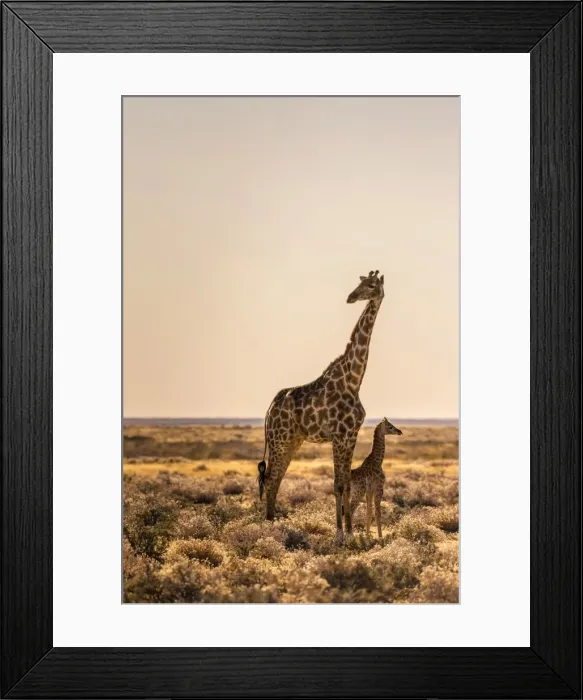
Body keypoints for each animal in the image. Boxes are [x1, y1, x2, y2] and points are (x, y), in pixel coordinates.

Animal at [257, 270, 385, 544]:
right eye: (360, 283)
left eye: (371, 285)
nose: (350, 297)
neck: (354, 380)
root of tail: (269, 409)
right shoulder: (338, 435)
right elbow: (338, 484)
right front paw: (339, 536)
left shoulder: (350, 435)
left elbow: (346, 483)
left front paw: (350, 533)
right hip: (279, 439)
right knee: (270, 480)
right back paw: (269, 530)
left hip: (292, 441)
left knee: (275, 479)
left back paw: (272, 525)